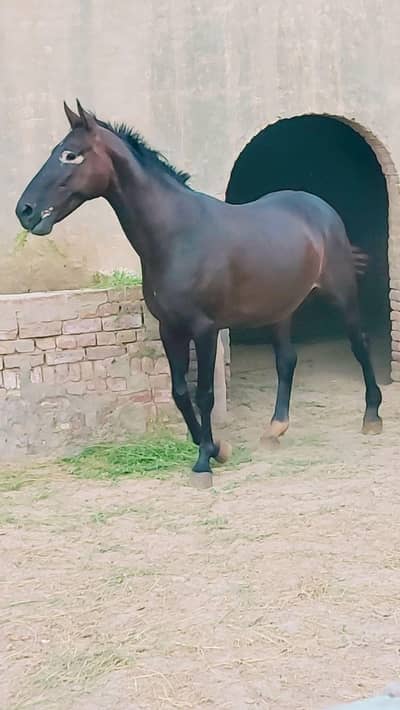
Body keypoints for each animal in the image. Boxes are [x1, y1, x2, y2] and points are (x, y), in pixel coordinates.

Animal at [15, 100, 383, 488]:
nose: (25, 210)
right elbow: (179, 392)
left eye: (71, 155)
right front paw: (216, 448)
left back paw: (372, 416)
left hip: (341, 294)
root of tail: (320, 208)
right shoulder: (170, 328)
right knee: (286, 360)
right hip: (280, 308)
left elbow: (204, 394)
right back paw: (275, 429)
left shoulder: (205, 330)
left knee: (359, 343)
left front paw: (204, 461)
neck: (178, 235)